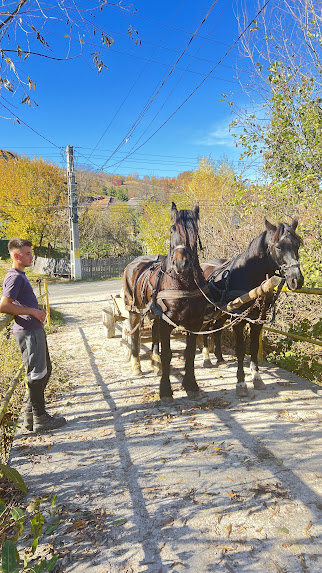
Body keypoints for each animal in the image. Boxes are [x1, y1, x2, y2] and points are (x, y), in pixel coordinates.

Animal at [122, 202, 208, 398]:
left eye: (195, 230)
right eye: (172, 229)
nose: (181, 263)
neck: (181, 282)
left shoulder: (195, 322)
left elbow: (189, 352)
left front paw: (190, 383)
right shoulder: (166, 321)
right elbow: (167, 353)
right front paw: (165, 389)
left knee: (153, 332)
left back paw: (155, 363)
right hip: (134, 309)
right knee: (135, 334)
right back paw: (137, 366)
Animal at [201, 217, 304, 396]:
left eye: (297, 244)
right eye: (278, 246)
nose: (296, 280)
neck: (248, 275)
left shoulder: (258, 319)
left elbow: (254, 347)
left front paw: (257, 378)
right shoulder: (238, 320)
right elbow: (241, 349)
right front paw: (241, 382)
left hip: (222, 313)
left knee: (217, 330)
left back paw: (219, 359)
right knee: (206, 330)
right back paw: (206, 358)